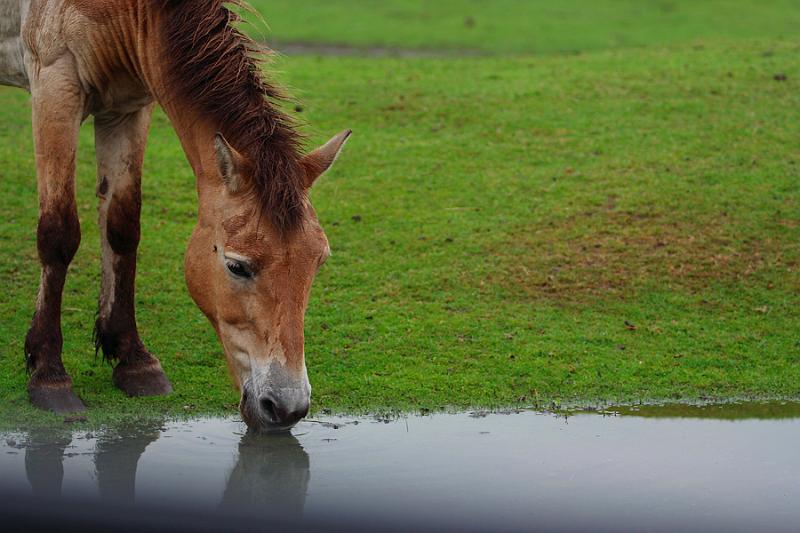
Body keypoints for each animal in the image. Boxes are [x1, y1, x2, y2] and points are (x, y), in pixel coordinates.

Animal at [0, 1, 350, 432]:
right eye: (237, 266)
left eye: (318, 262)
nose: (286, 407)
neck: (131, 11)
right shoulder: (54, 86)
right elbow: (58, 234)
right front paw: (48, 373)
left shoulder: (130, 106)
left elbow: (122, 226)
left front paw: (133, 360)